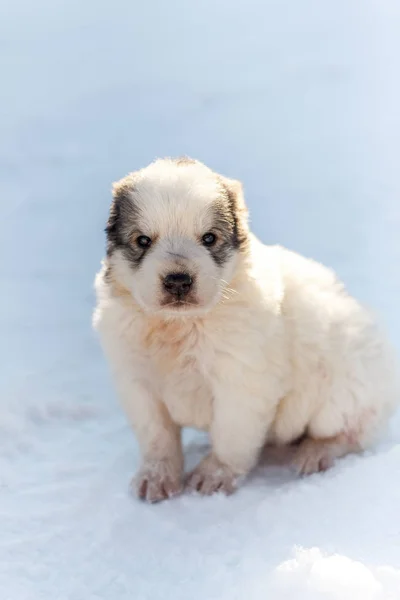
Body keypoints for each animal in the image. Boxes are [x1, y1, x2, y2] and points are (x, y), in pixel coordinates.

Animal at [93, 156, 396, 502]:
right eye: (143, 241)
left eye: (209, 238)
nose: (178, 281)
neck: (180, 325)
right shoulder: (137, 382)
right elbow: (156, 436)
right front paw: (156, 476)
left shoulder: (241, 383)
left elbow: (231, 434)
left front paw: (215, 474)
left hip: (344, 391)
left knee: (350, 432)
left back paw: (316, 452)